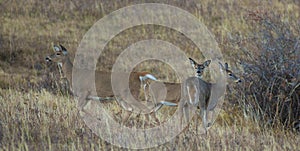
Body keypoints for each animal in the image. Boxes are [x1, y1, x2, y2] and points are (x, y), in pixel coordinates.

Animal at [44, 44, 176, 124]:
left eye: (58, 53)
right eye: (54, 51)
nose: (47, 58)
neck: (73, 75)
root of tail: (138, 75)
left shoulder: (83, 92)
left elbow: (79, 108)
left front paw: (99, 119)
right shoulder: (88, 97)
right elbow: (80, 109)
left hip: (130, 93)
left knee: (143, 107)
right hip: (122, 96)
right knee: (131, 109)